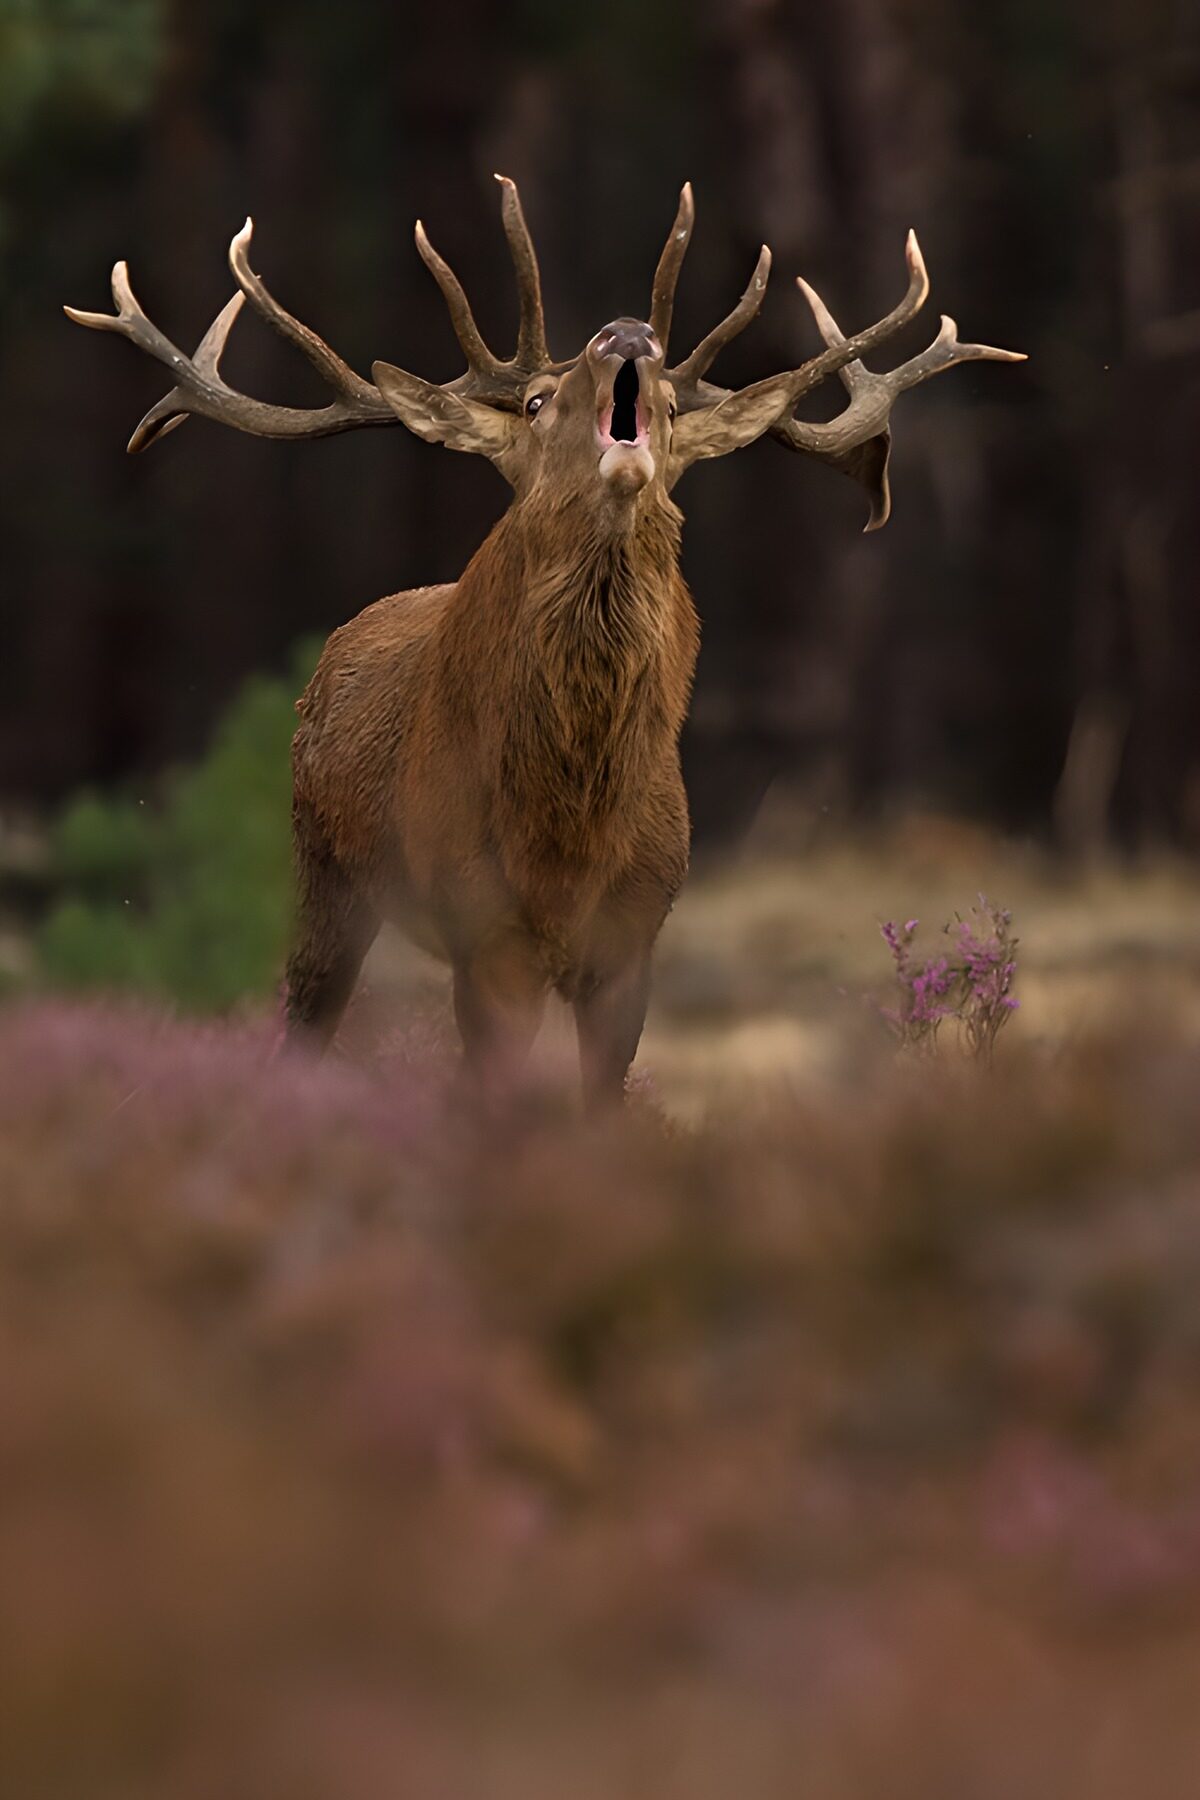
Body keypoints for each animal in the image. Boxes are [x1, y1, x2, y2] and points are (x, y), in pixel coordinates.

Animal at [66, 178, 1023, 1109]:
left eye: (668, 407)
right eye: (534, 402)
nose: (626, 332)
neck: (568, 835)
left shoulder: (635, 936)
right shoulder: (485, 934)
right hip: (323, 876)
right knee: (302, 1028)